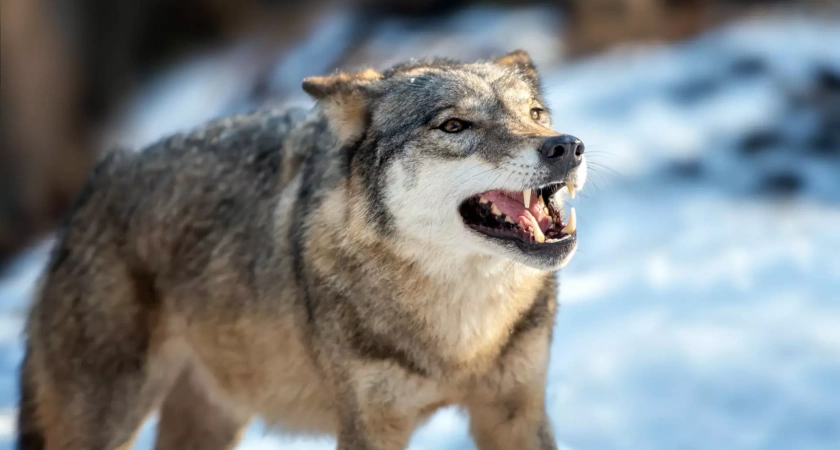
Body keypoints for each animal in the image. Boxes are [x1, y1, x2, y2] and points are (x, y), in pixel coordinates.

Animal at [16, 50, 588, 450]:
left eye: (536, 113)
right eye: (453, 125)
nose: (567, 146)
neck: (462, 338)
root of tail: (95, 183)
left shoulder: (515, 412)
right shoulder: (368, 425)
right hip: (109, 419)